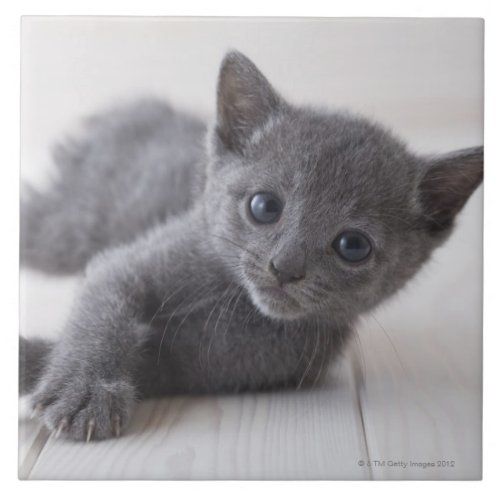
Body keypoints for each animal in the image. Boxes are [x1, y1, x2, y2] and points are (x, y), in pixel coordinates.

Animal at [20, 51, 484, 442]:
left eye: (353, 246)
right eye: (264, 206)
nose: (285, 267)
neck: (235, 303)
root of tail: (149, 106)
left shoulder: (231, 365)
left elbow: (152, 359)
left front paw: (31, 360)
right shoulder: (129, 264)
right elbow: (100, 314)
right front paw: (85, 391)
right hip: (70, 226)